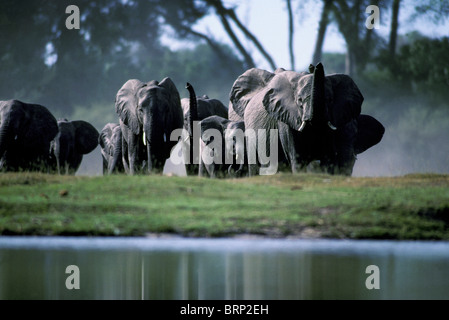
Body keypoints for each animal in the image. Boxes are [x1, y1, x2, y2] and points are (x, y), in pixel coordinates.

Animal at [229, 63, 366, 176]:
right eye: (300, 101)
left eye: (330, 100)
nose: (314, 66)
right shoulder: (287, 119)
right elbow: (297, 157)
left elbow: (328, 159)